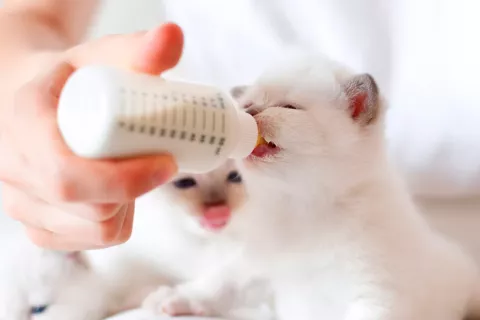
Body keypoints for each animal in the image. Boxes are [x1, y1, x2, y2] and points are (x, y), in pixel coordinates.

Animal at [146, 52, 480, 320]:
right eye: (246, 104)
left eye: (288, 107)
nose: (250, 111)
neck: (304, 208)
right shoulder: (258, 263)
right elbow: (221, 283)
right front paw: (177, 298)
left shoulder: (376, 294)